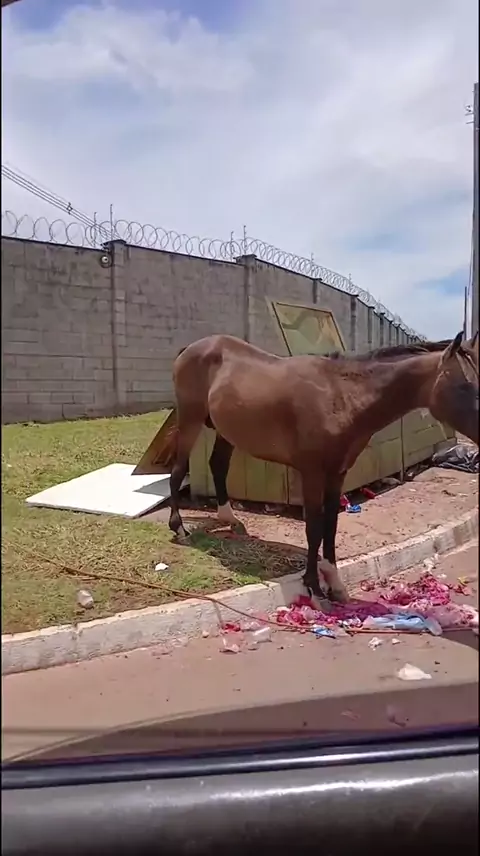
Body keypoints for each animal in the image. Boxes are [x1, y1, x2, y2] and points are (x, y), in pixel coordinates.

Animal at [156, 330, 478, 603]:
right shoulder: (311, 473)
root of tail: (191, 348)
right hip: (190, 419)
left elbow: (330, 526)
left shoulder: (337, 474)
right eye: (466, 386)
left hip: (226, 430)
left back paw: (229, 519)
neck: (341, 398)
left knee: (218, 465)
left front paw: (334, 583)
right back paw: (179, 528)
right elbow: (313, 527)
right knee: (179, 469)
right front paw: (313, 584)